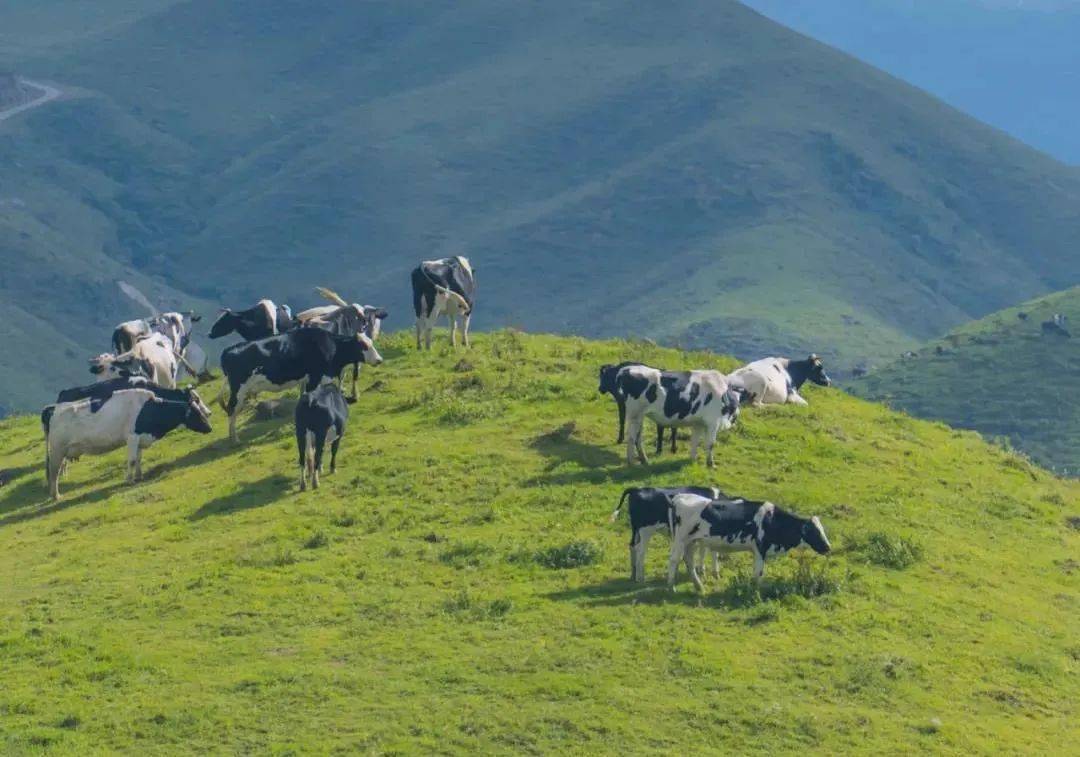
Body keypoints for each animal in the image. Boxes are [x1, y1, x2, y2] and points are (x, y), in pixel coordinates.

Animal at [217, 326, 382, 442]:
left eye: (371, 342)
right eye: (363, 345)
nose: (379, 360)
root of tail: (228, 350)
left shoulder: (306, 380)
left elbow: (303, 397)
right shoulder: (316, 377)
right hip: (239, 389)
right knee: (231, 409)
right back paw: (235, 439)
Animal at [665, 490, 833, 591]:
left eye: (822, 530)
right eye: (814, 531)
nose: (828, 547)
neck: (771, 520)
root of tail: (679, 497)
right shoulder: (760, 548)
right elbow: (758, 573)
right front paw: (756, 592)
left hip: (692, 541)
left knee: (688, 560)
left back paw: (699, 586)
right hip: (680, 539)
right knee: (674, 560)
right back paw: (671, 586)